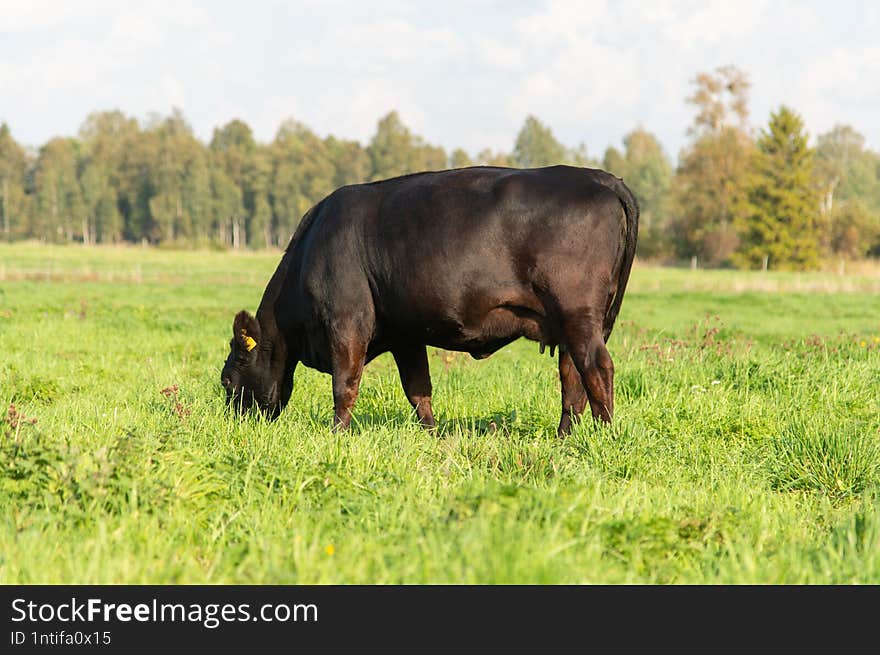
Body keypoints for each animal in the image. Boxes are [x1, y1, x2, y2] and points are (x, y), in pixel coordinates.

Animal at [219, 167, 632, 438]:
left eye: (227, 380)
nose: (231, 425)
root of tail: (599, 177)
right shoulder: (406, 336)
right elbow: (418, 389)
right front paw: (431, 434)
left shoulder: (347, 322)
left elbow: (345, 383)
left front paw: (337, 433)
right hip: (571, 324)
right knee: (573, 378)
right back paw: (564, 437)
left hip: (577, 314)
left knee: (597, 369)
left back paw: (606, 434)